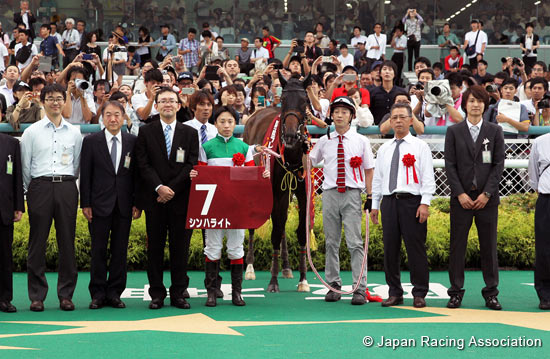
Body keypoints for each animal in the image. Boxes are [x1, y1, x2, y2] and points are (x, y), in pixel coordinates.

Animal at [244, 76, 312, 292]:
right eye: (283, 99)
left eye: (304, 100)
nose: (290, 135)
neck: (291, 155)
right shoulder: (275, 190)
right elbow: (275, 231)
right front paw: (273, 281)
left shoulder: (302, 191)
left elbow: (299, 231)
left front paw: (303, 279)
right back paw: (250, 267)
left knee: (282, 224)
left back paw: (287, 267)